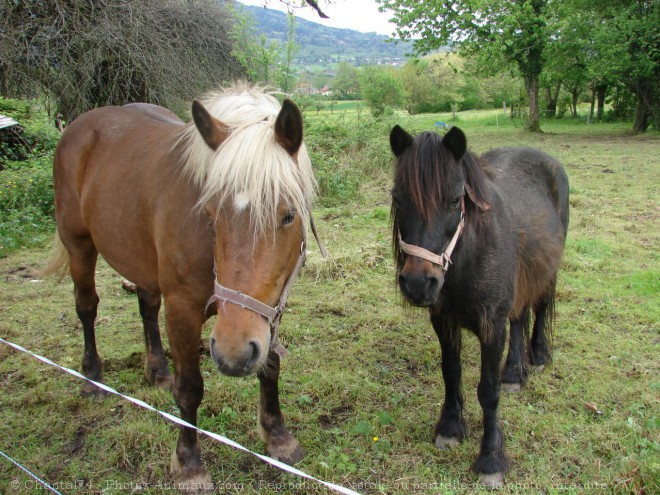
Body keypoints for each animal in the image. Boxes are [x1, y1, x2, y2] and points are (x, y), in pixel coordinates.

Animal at [43, 83, 318, 490]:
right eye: (210, 214)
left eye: (288, 215)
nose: (233, 354)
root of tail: (80, 124)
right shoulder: (184, 310)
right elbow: (189, 388)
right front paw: (189, 464)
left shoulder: (269, 309)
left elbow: (270, 367)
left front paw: (278, 437)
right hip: (79, 245)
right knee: (86, 306)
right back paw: (92, 377)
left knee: (146, 306)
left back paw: (157, 370)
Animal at [390, 126, 568, 490]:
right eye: (398, 198)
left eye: (455, 199)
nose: (418, 283)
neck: (468, 257)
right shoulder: (444, 321)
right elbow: (451, 372)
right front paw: (450, 427)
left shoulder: (492, 327)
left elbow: (487, 392)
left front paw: (490, 459)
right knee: (520, 318)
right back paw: (513, 372)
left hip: (547, 271)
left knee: (541, 308)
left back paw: (538, 355)